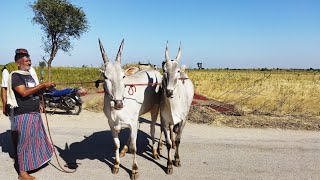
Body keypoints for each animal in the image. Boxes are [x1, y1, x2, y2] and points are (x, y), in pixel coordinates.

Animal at [98, 38, 162, 179]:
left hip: (156, 108)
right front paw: (116, 165)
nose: (118, 103)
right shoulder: (112, 124)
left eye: (123, 76)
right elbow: (116, 144)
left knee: (153, 129)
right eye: (105, 77)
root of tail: (155, 71)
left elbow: (134, 147)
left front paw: (134, 170)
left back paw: (155, 151)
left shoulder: (132, 122)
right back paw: (124, 150)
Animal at [159, 42, 194, 174]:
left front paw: (177, 160)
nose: (169, 91)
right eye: (164, 70)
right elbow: (168, 142)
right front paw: (169, 165)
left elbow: (179, 139)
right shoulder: (164, 120)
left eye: (177, 71)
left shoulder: (183, 120)